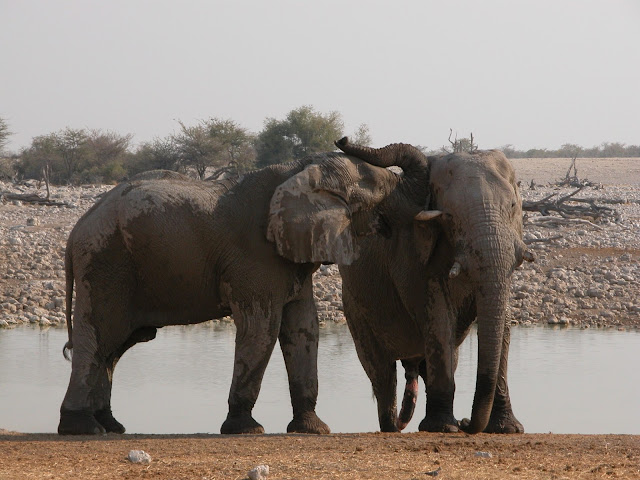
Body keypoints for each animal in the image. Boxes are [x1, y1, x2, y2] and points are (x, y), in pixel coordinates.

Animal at [58, 153, 416, 436]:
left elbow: (304, 328)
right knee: (99, 338)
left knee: (113, 349)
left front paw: (313, 429)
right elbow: (262, 328)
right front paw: (247, 428)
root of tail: (76, 228)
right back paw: (83, 428)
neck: (300, 169)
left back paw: (110, 425)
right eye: (378, 187)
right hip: (104, 263)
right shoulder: (256, 256)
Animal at [272, 137, 532, 434]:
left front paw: (506, 429)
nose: (468, 423)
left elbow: (504, 321)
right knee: (382, 371)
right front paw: (443, 428)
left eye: (512, 207)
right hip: (355, 308)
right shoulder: (412, 251)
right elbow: (437, 317)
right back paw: (392, 426)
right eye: (450, 217)